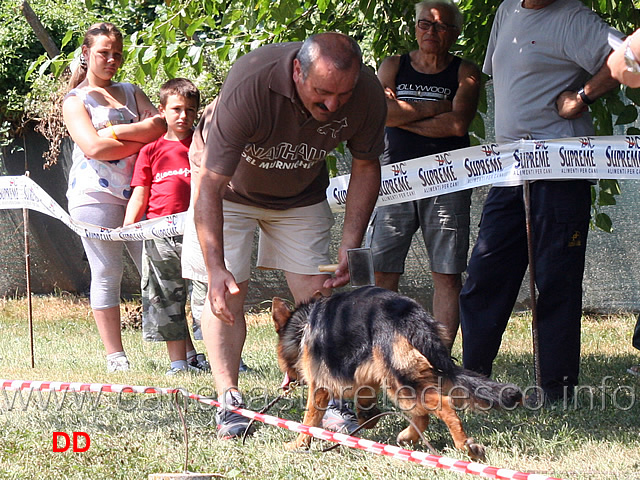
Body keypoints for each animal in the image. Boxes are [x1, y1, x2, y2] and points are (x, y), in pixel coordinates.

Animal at [272, 286, 524, 460]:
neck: (303, 325)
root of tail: (411, 316)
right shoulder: (366, 375)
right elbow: (365, 405)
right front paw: (367, 419)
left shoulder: (320, 387)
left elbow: (310, 419)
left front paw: (299, 443)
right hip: (402, 376)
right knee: (422, 414)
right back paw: (407, 437)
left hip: (399, 381)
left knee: (440, 405)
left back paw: (464, 445)